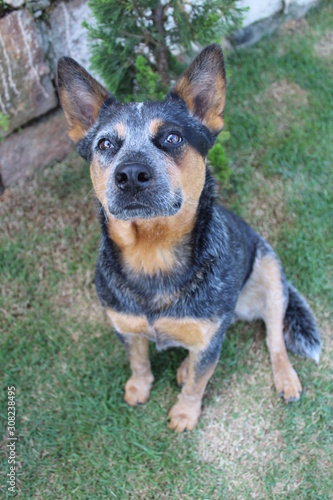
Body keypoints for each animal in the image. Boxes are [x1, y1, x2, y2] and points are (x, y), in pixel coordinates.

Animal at [56, 45, 320, 432]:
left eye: (172, 137)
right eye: (105, 143)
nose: (130, 175)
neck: (152, 254)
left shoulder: (211, 338)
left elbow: (200, 380)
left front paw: (185, 413)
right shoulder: (125, 326)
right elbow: (138, 361)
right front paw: (138, 387)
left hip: (272, 277)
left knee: (274, 340)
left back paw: (286, 379)